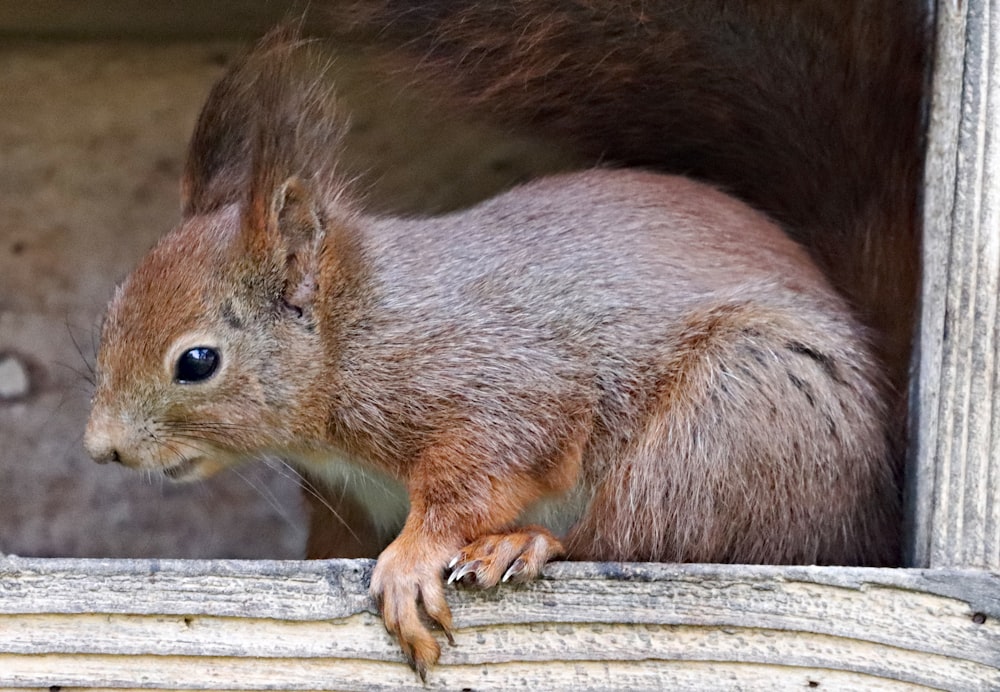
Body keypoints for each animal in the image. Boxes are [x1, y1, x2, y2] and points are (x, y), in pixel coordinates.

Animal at [82, 0, 924, 676]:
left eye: (197, 361)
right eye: (111, 314)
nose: (102, 449)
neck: (356, 332)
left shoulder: (500, 379)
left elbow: (487, 468)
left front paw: (413, 561)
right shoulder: (344, 498)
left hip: (735, 421)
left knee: (633, 537)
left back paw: (526, 545)